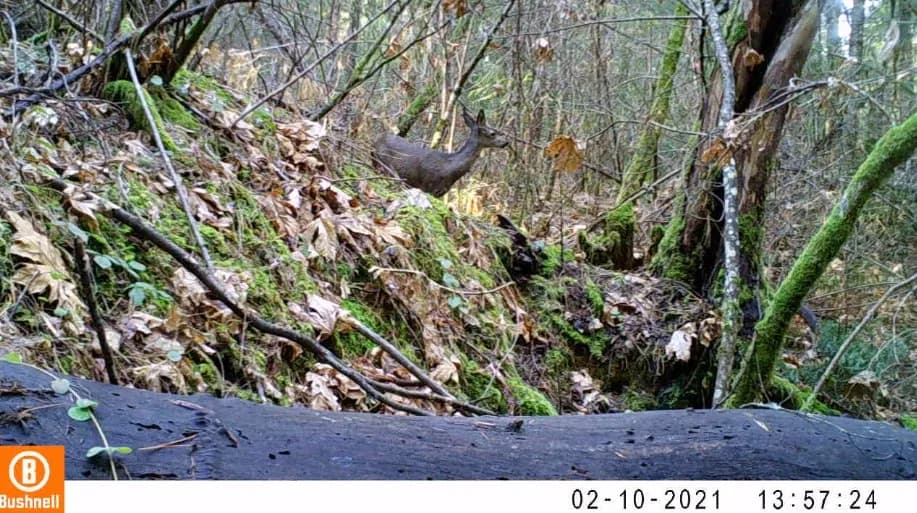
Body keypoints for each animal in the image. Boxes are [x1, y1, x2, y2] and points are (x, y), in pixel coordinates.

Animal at [372, 108, 509, 197]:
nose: (506, 142)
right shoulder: (427, 185)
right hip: (384, 164)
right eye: (492, 133)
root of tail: (375, 141)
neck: (449, 168)